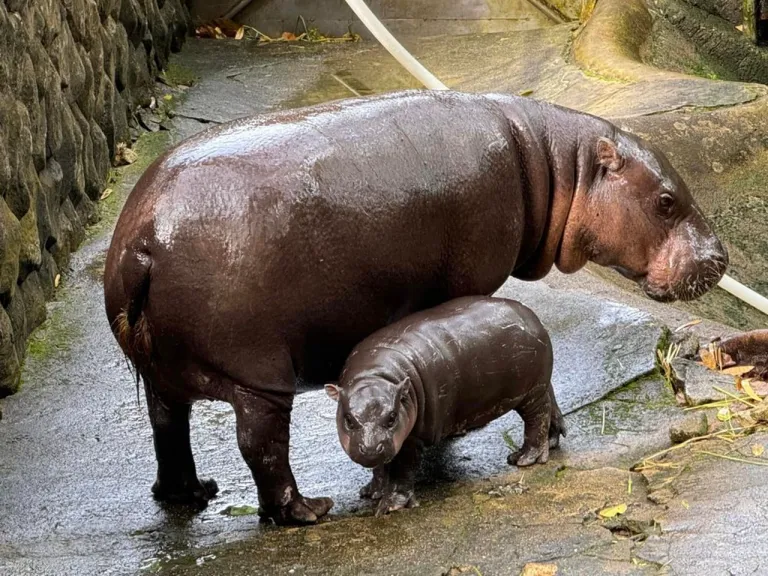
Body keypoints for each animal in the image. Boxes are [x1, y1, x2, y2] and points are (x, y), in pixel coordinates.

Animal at [325, 296, 558, 516]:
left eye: (392, 417)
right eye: (348, 419)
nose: (370, 448)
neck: (375, 375)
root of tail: (531, 315)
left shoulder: (413, 437)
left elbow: (402, 470)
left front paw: (390, 506)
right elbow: (381, 465)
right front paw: (371, 492)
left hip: (531, 393)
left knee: (537, 419)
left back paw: (524, 459)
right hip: (540, 385)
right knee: (550, 403)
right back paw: (552, 441)